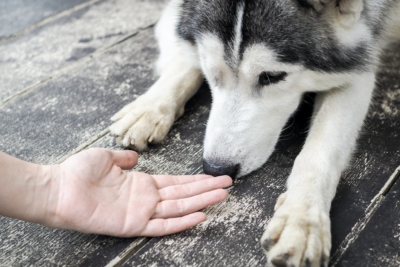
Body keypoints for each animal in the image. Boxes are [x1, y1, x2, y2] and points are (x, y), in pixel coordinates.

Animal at [109, 1, 400, 266]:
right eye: (211, 70)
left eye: (272, 76)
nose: (216, 169)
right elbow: (183, 60)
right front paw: (150, 107)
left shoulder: (357, 65)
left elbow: (320, 151)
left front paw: (301, 218)